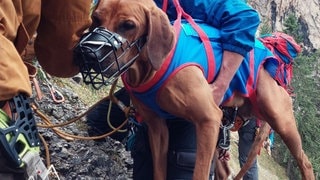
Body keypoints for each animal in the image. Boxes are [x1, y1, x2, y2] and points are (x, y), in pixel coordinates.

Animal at [89, 0, 314, 179]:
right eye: (96, 18)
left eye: (128, 25)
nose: (90, 53)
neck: (148, 70)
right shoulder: (157, 128)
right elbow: (159, 171)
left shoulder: (208, 119)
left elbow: (199, 174)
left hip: (280, 120)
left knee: (305, 162)